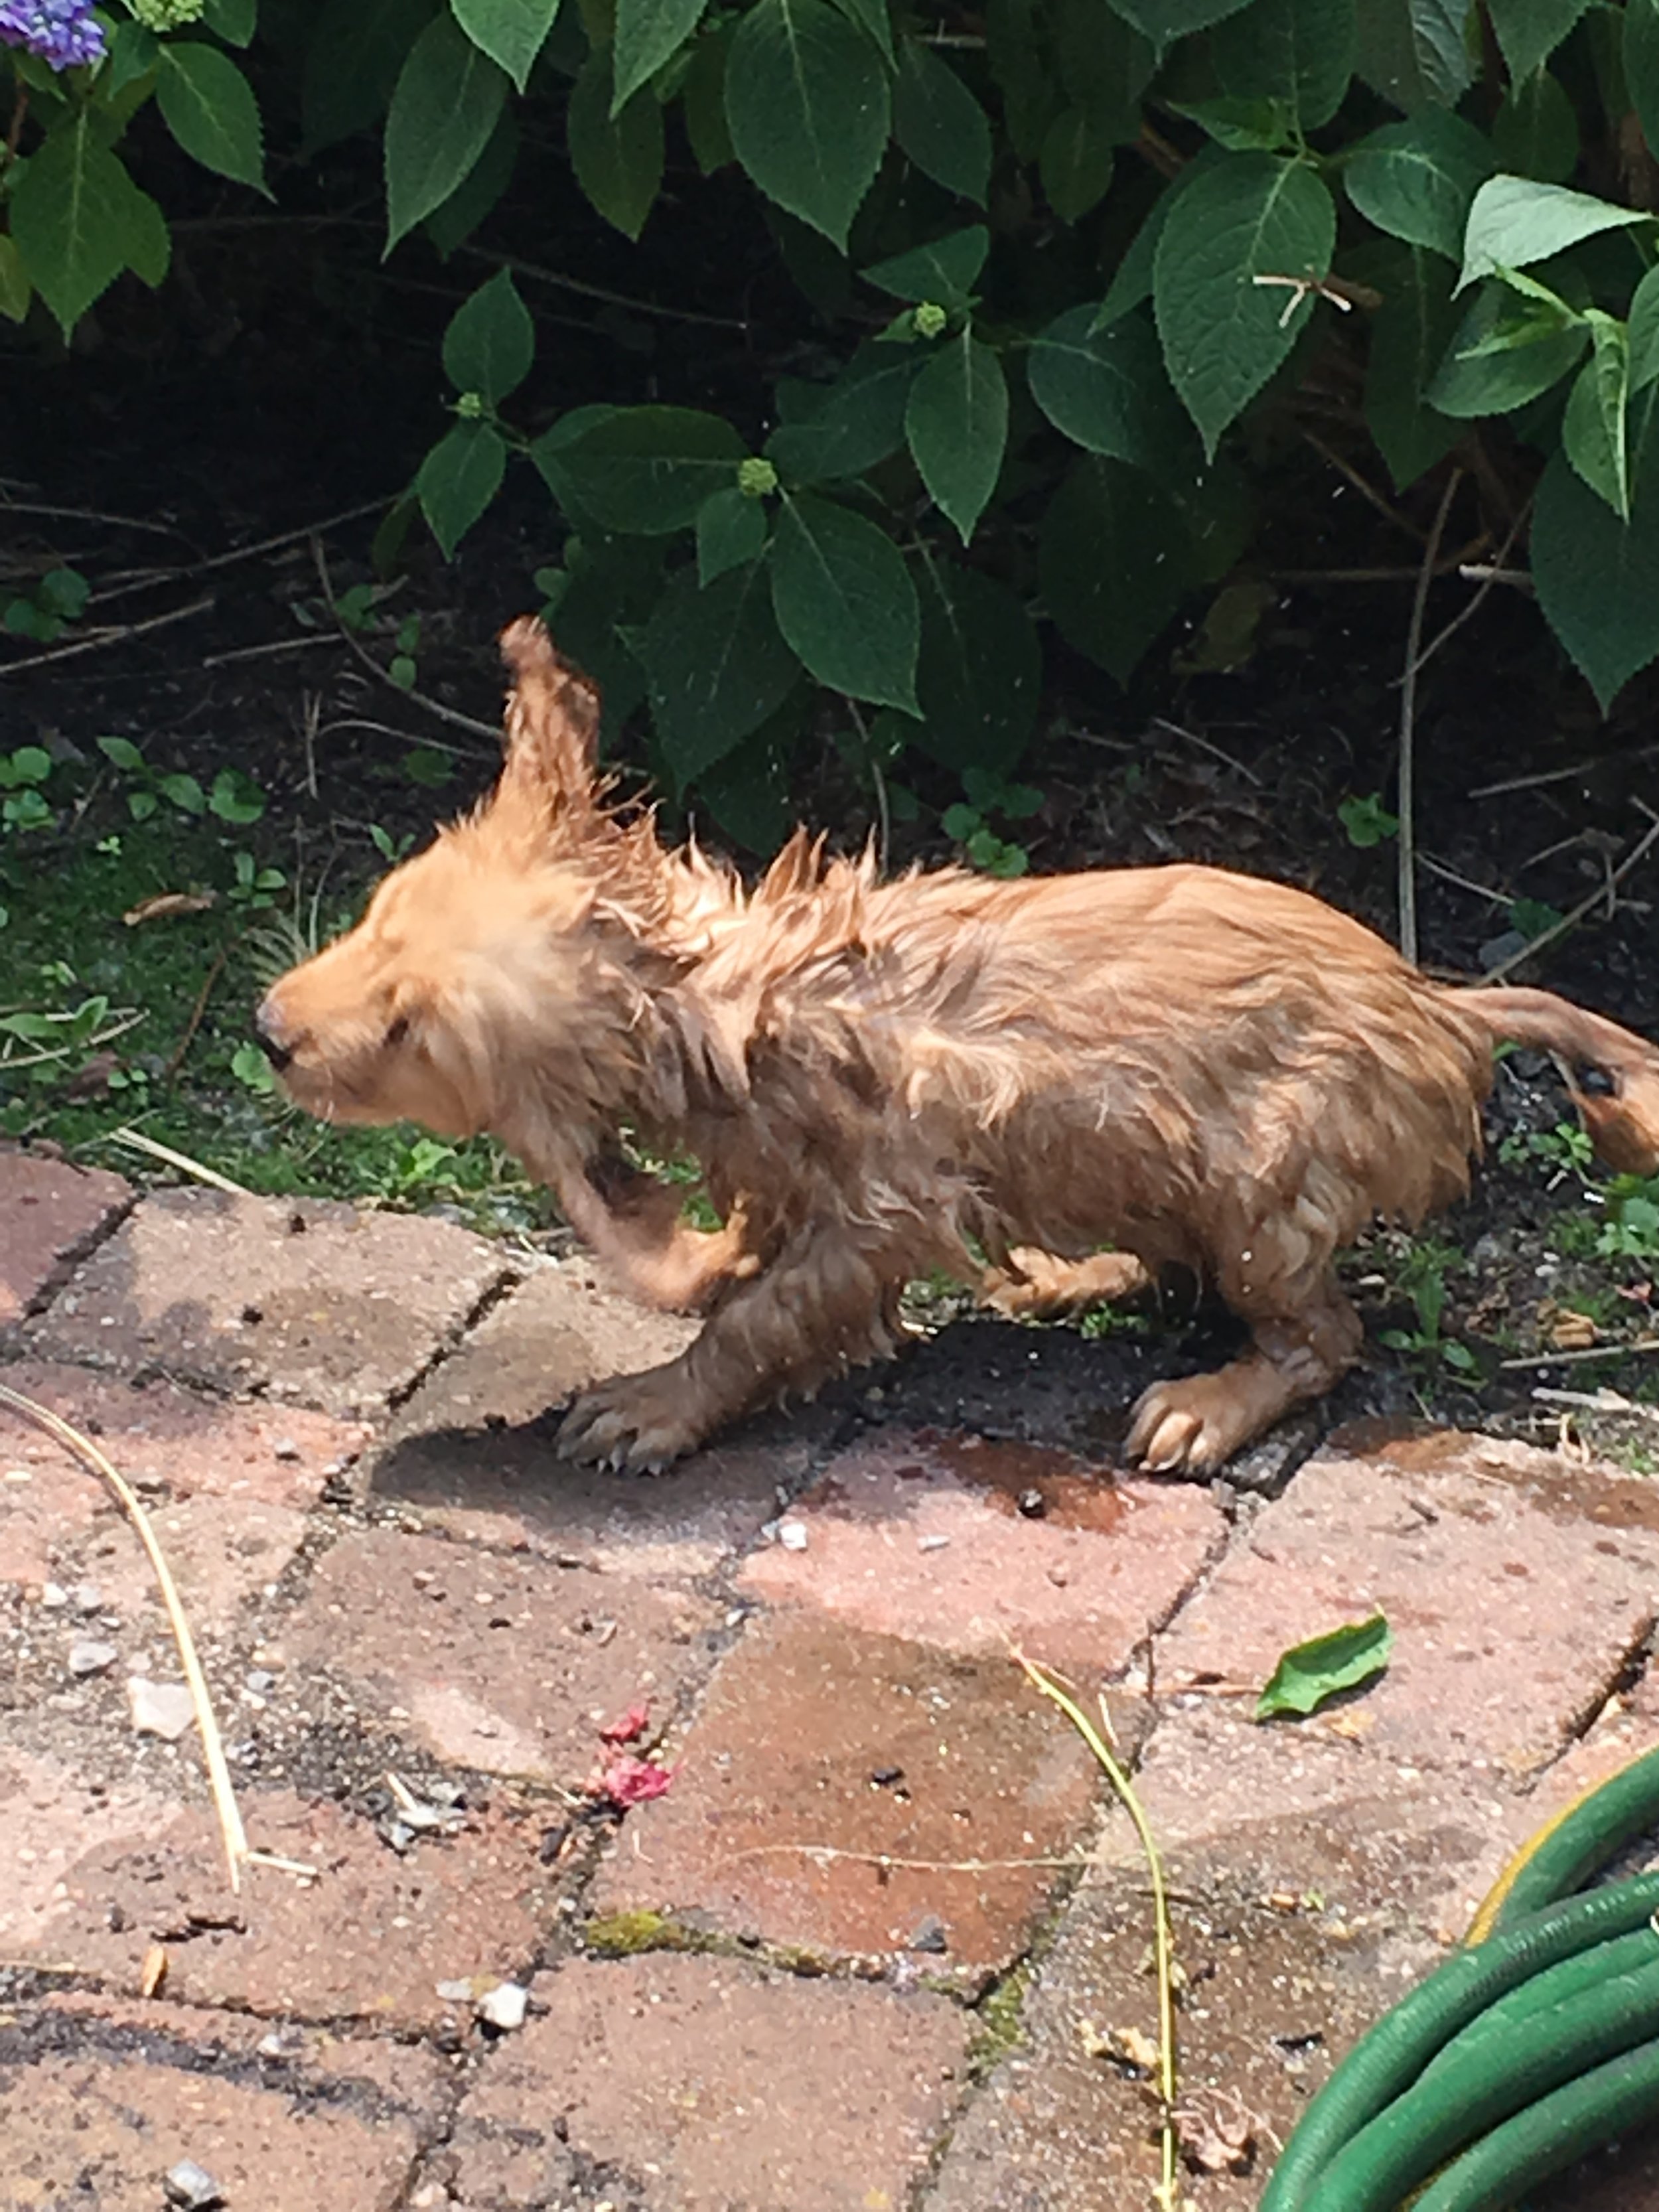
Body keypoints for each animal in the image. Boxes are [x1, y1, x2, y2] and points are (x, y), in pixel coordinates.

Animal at [253, 619, 1659, 1469]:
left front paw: (656, 1399)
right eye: (374, 913)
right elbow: (744, 1251)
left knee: (1321, 1332)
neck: (730, 998)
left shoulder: (880, 1207)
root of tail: (1445, 1005)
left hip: (1267, 1183)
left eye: (410, 1031)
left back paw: (1204, 1405)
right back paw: (1069, 1274)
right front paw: (709, 1272)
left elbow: (762, 1320)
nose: (269, 1033)